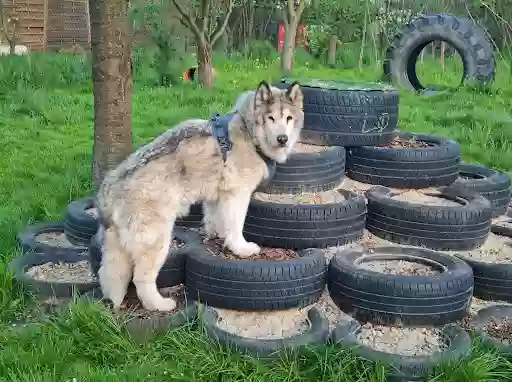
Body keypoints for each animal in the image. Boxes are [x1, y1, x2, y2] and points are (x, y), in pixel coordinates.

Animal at [96, 80, 304, 310]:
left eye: (289, 118)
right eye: (271, 118)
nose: (283, 139)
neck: (249, 132)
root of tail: (110, 186)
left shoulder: (216, 195)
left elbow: (216, 219)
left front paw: (219, 235)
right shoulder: (237, 194)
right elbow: (236, 225)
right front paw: (240, 248)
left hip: (116, 249)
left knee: (107, 274)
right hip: (156, 240)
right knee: (141, 279)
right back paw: (159, 304)